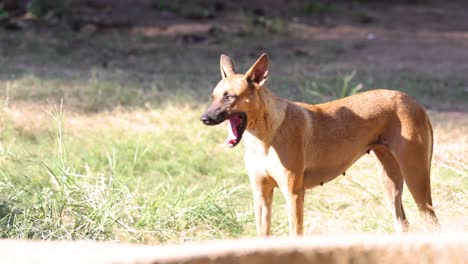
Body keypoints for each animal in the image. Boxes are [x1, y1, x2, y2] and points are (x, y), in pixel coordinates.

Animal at [201, 53, 438, 235]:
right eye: (213, 97)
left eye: (229, 97)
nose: (204, 118)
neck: (265, 138)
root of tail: (415, 103)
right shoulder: (261, 194)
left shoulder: (294, 194)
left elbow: (295, 234)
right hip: (391, 182)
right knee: (402, 223)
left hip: (416, 179)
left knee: (432, 222)